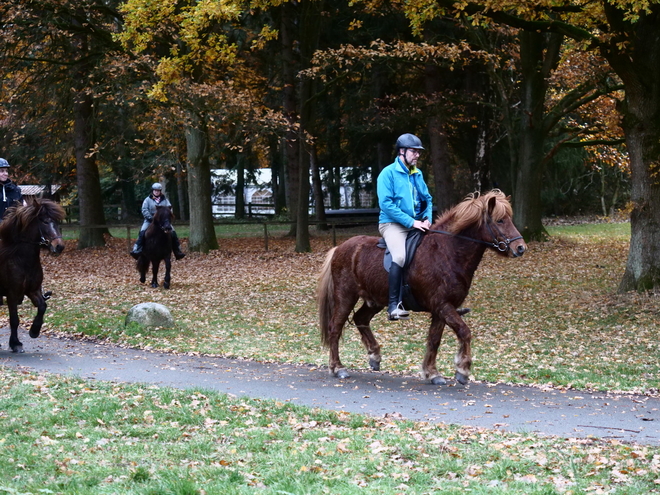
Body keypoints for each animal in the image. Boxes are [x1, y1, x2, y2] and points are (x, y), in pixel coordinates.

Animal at [0, 200, 65, 354]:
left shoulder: (32, 291)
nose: (59, 246)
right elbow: (14, 320)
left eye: (56, 222)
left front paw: (34, 331)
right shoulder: (12, 294)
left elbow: (42, 306)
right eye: (45, 221)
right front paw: (16, 344)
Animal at [318, 192, 528, 386]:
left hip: (375, 300)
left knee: (360, 319)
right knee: (335, 327)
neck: (448, 251)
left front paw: (432, 373)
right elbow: (464, 332)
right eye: (500, 220)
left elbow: (434, 339)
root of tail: (339, 248)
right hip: (345, 296)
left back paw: (374, 356)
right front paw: (462, 369)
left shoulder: (441, 309)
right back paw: (338, 368)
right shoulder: (443, 306)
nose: (520, 248)